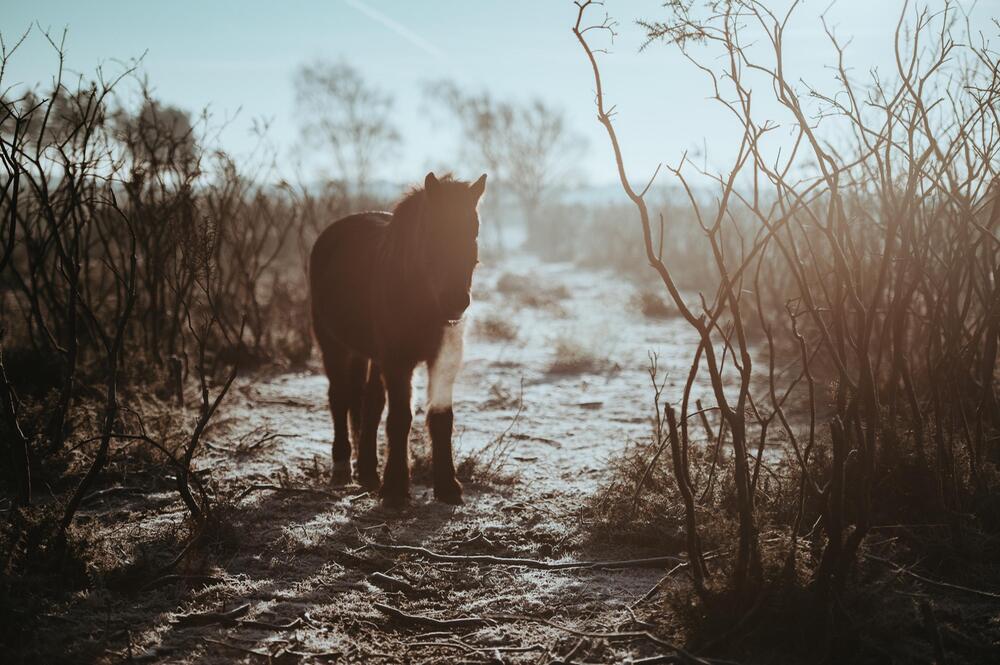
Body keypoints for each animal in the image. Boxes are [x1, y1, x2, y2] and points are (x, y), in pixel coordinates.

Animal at [310, 171, 486, 504]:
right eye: (432, 230)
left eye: (473, 230)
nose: (455, 301)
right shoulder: (397, 360)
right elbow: (400, 418)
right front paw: (394, 488)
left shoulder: (443, 359)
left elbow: (440, 418)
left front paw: (447, 486)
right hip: (333, 345)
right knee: (339, 397)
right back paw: (342, 466)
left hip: (370, 354)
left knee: (369, 401)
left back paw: (367, 471)